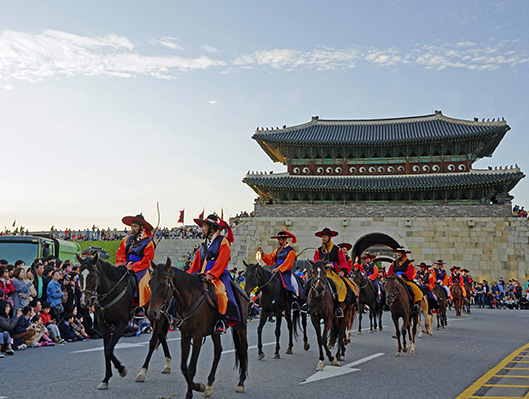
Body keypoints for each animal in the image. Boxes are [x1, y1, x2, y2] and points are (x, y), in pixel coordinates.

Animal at [77, 253, 133, 390]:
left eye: (92, 275)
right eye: (80, 275)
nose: (84, 302)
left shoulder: (121, 324)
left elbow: (108, 349)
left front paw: (121, 369)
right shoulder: (103, 324)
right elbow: (106, 350)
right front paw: (106, 379)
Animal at [147, 258, 249, 398]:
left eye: (163, 284)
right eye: (150, 283)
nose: (152, 313)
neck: (189, 301)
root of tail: (242, 290)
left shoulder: (197, 336)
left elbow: (191, 367)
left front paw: (190, 393)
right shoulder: (185, 336)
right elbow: (184, 367)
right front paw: (198, 386)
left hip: (241, 327)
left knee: (243, 349)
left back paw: (241, 383)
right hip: (215, 332)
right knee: (218, 351)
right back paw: (209, 385)